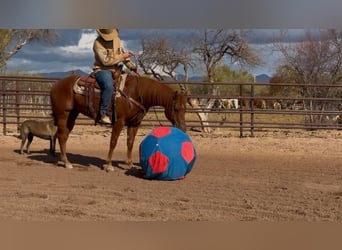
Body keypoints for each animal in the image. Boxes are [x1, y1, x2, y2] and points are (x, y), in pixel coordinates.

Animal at [50, 74, 187, 172]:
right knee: (61, 136)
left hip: (72, 115)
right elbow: (113, 142)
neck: (137, 93)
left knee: (64, 136)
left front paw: (130, 164)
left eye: (185, 108)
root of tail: (56, 85)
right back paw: (67, 163)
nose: (182, 128)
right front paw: (109, 165)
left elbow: (130, 142)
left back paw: (65, 160)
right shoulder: (119, 122)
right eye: (176, 108)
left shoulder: (134, 123)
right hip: (63, 115)